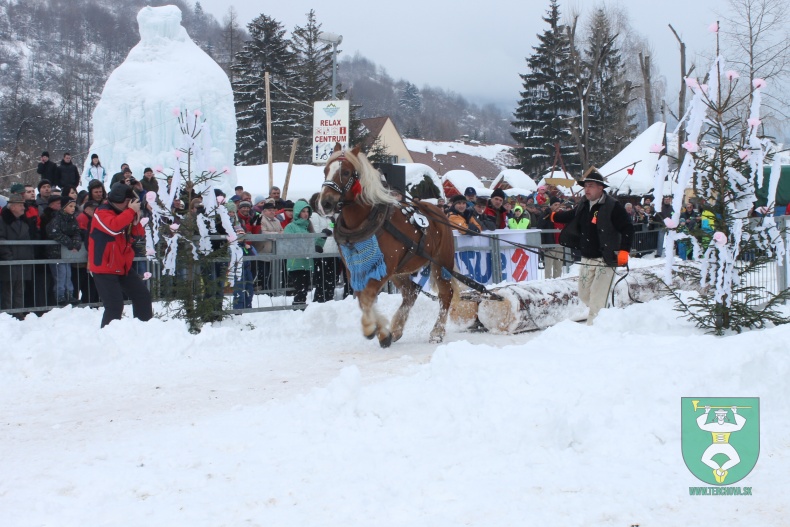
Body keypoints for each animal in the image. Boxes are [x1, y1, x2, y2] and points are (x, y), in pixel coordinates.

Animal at [320, 146, 460, 348]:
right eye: (325, 171)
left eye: (345, 172)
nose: (326, 203)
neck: (362, 221)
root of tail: (438, 211)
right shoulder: (353, 269)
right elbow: (363, 299)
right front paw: (383, 332)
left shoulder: (383, 268)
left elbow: (368, 296)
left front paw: (371, 328)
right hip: (400, 271)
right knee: (410, 293)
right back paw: (397, 329)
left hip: (441, 263)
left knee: (445, 294)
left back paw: (437, 332)